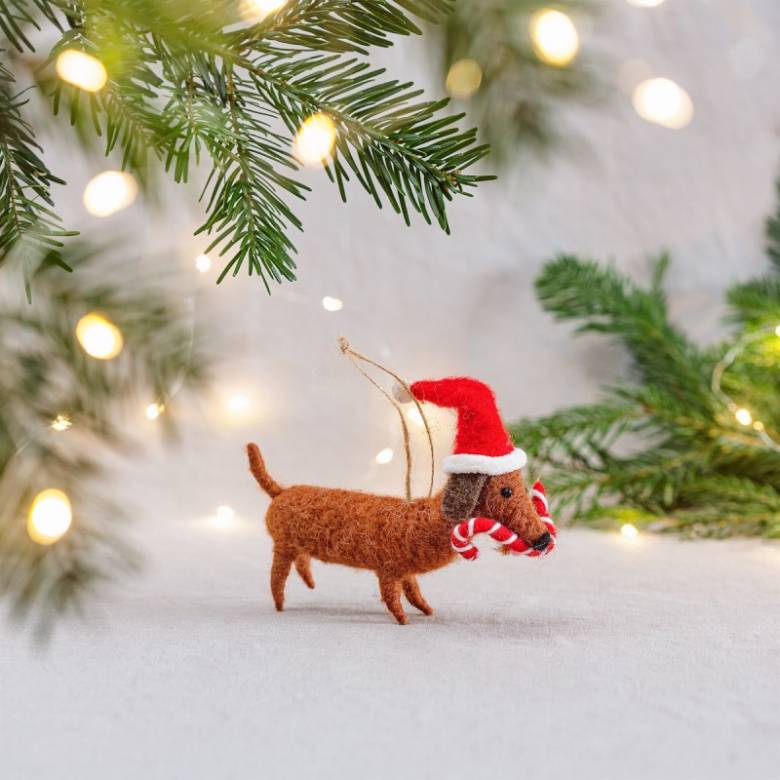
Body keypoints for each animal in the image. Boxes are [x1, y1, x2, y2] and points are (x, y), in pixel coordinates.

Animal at [247, 442, 552, 624]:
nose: (544, 539)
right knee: (277, 576)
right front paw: (404, 620)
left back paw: (309, 584)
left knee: (301, 562)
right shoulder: (389, 570)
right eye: (506, 491)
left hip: (294, 546)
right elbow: (393, 596)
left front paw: (427, 611)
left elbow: (413, 591)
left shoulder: (405, 571)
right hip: (283, 546)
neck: (426, 520)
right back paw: (280, 605)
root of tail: (280, 491)